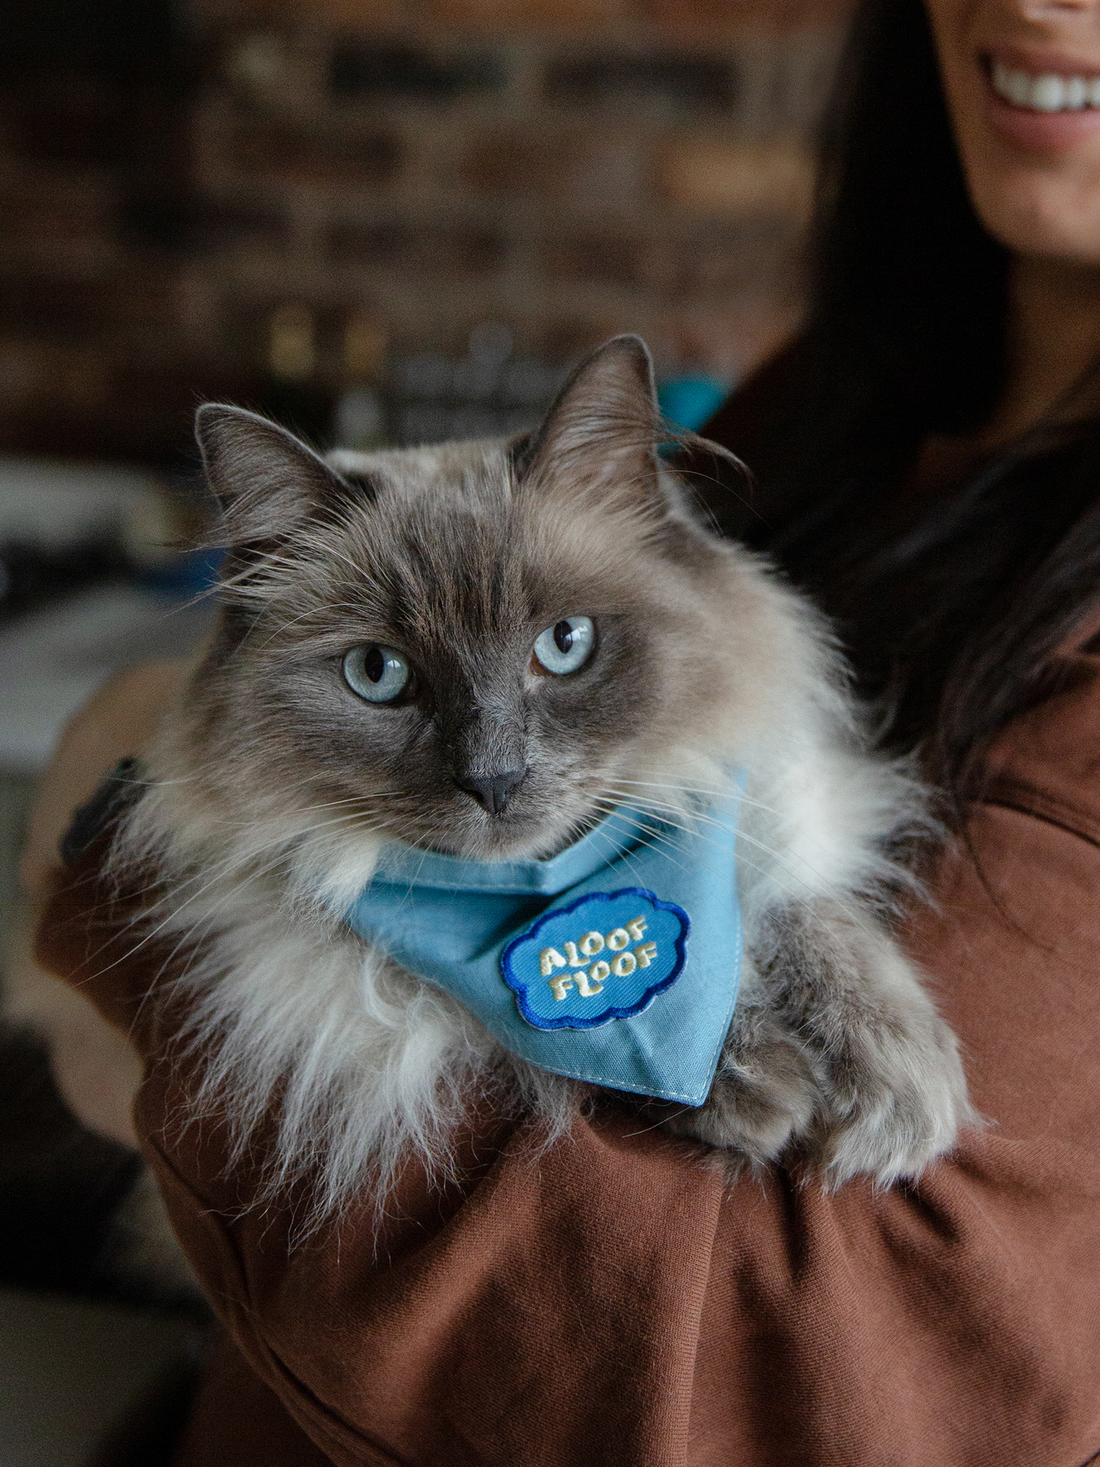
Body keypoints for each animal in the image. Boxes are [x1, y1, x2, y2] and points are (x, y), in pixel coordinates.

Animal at [112, 335, 973, 1226]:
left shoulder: (749, 789)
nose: (493, 781)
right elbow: (533, 1033)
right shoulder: (343, 980)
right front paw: (754, 1077)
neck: (553, 890)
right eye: (379, 674)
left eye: (564, 644)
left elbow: (795, 906)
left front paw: (892, 1080)